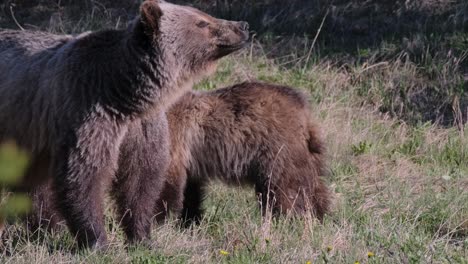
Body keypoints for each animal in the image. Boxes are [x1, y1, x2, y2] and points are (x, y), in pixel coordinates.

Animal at [0, 0, 250, 248]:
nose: (243, 26)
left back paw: (47, 227)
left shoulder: (141, 127)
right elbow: (84, 176)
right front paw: (96, 240)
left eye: (203, 14)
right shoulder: (88, 114)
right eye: (201, 22)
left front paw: (142, 236)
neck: (123, 95)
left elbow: (141, 179)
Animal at [155, 82, 330, 225]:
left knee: (285, 189)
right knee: (313, 186)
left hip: (277, 151)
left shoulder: (174, 141)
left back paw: (290, 220)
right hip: (305, 155)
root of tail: (304, 113)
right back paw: (320, 215)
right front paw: (189, 221)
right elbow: (191, 191)